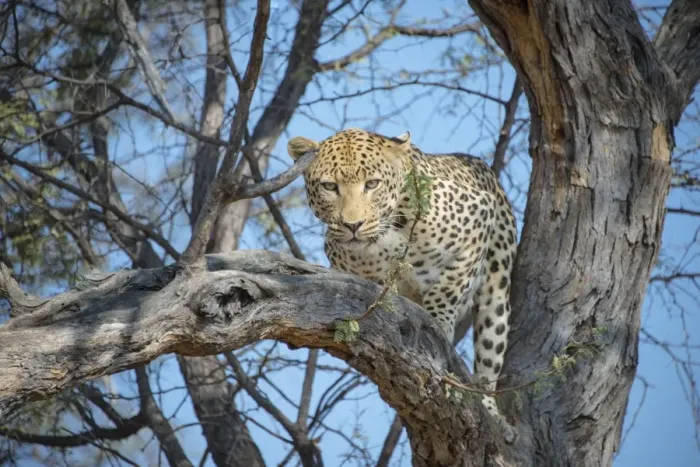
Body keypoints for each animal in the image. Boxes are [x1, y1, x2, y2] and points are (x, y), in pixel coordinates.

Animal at [287, 128, 518, 441]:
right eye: (329, 186)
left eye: (372, 184)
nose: (353, 225)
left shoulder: (478, 217)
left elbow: (447, 288)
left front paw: (439, 323)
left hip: (496, 289)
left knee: (489, 357)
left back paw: (492, 411)